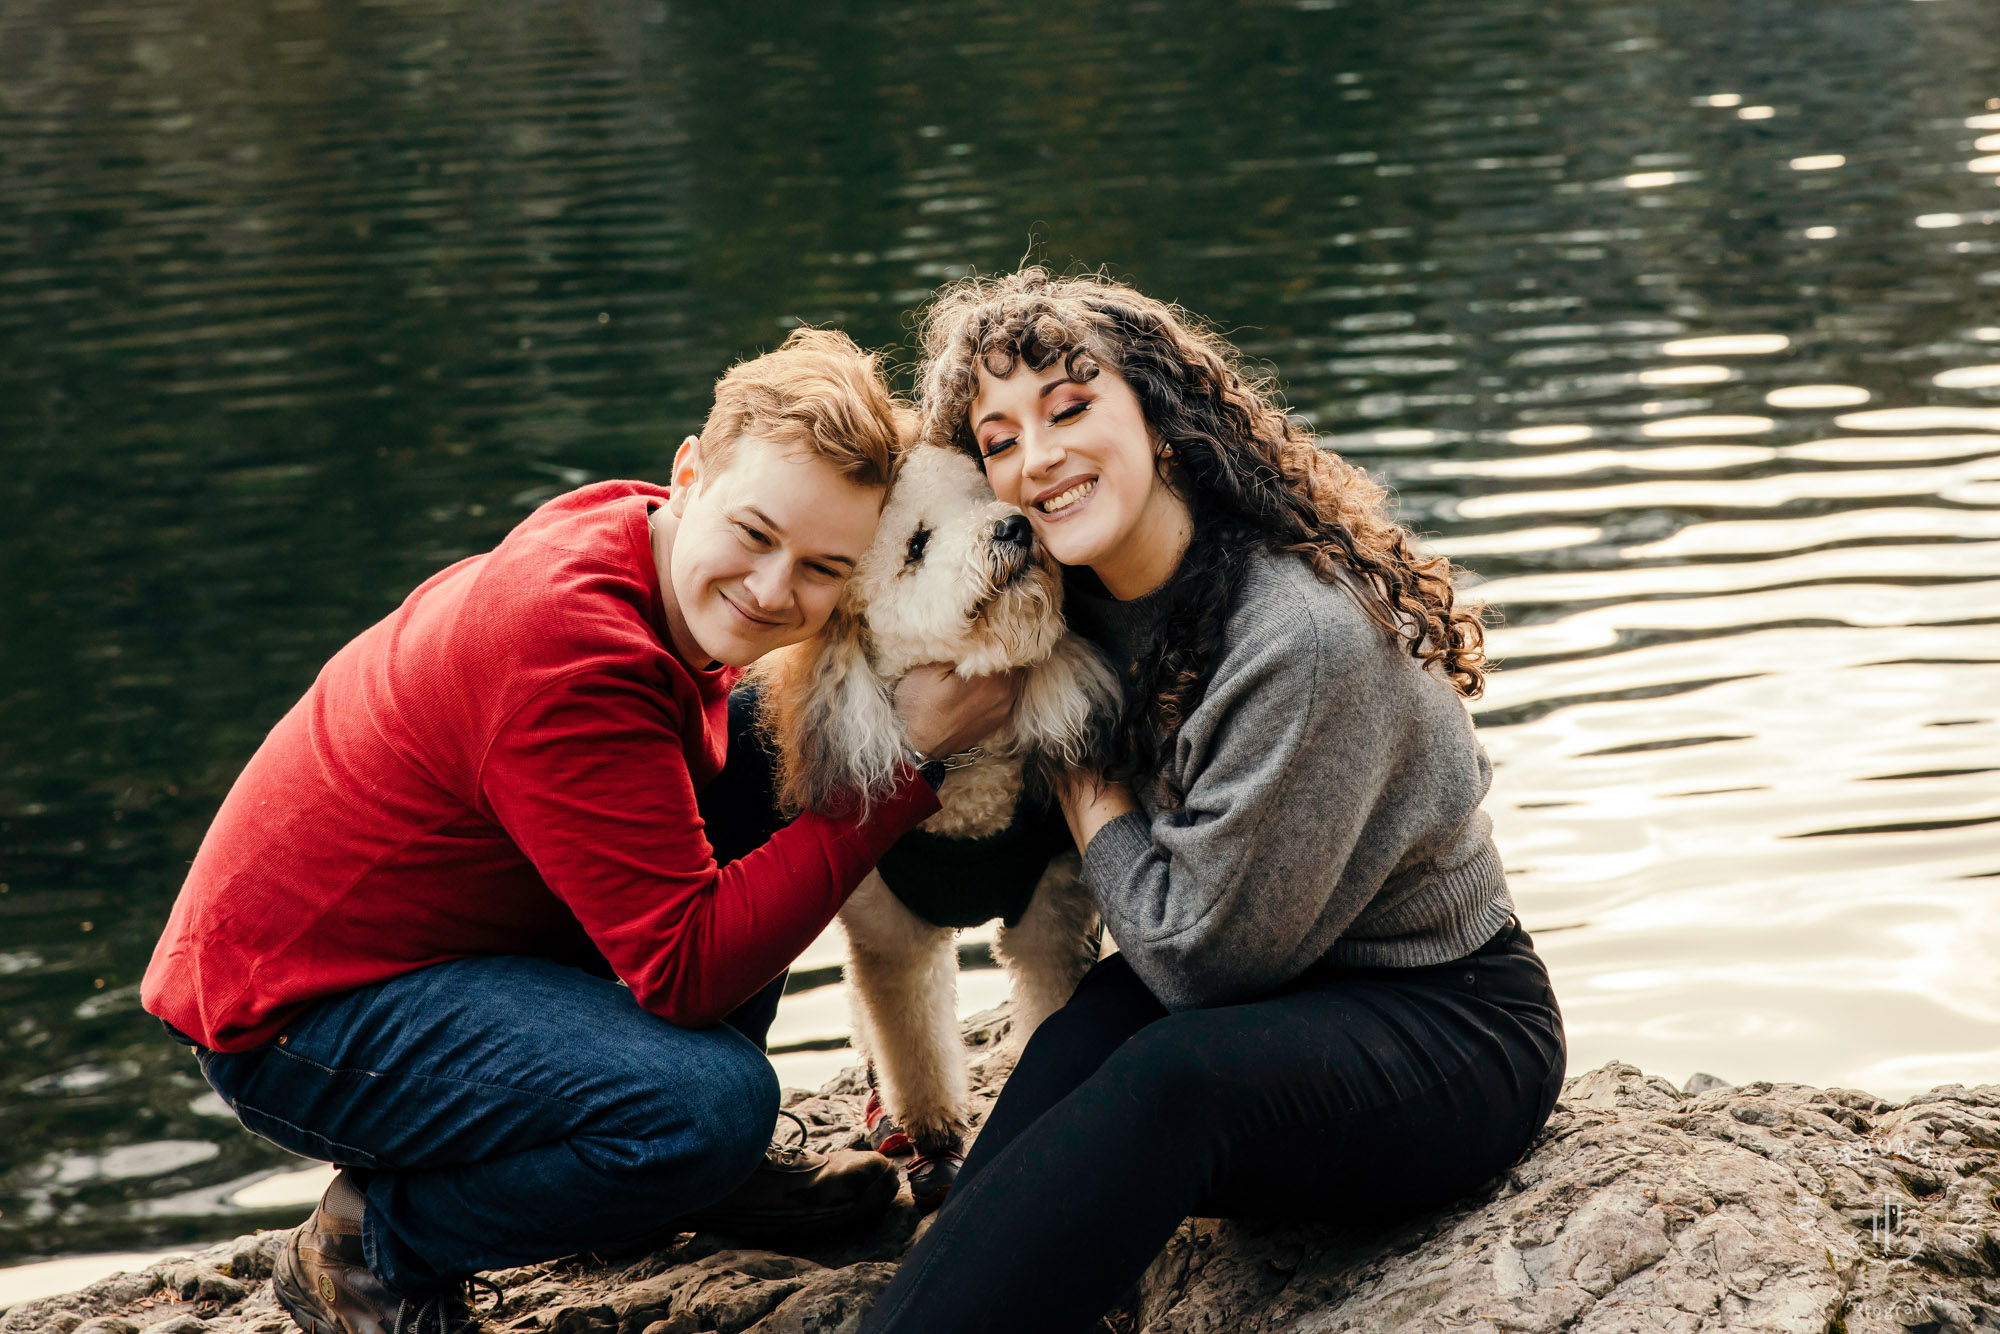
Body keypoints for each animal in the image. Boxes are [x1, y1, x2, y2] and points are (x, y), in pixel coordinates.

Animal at [752, 446, 1128, 1208]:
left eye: (984, 495)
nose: (1015, 526)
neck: (965, 785)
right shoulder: (890, 937)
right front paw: (931, 1135)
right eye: (917, 545)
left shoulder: (1050, 915)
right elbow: (912, 1043)